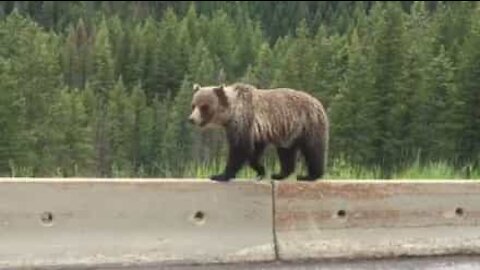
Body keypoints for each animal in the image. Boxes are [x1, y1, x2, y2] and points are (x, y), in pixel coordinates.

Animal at [189, 82, 328, 182]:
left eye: (204, 107)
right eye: (193, 105)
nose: (191, 119)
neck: (231, 113)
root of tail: (318, 102)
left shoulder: (244, 121)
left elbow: (240, 148)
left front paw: (221, 175)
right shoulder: (256, 130)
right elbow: (254, 151)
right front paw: (261, 170)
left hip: (308, 124)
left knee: (313, 150)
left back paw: (309, 176)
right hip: (288, 132)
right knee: (286, 152)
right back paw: (279, 174)